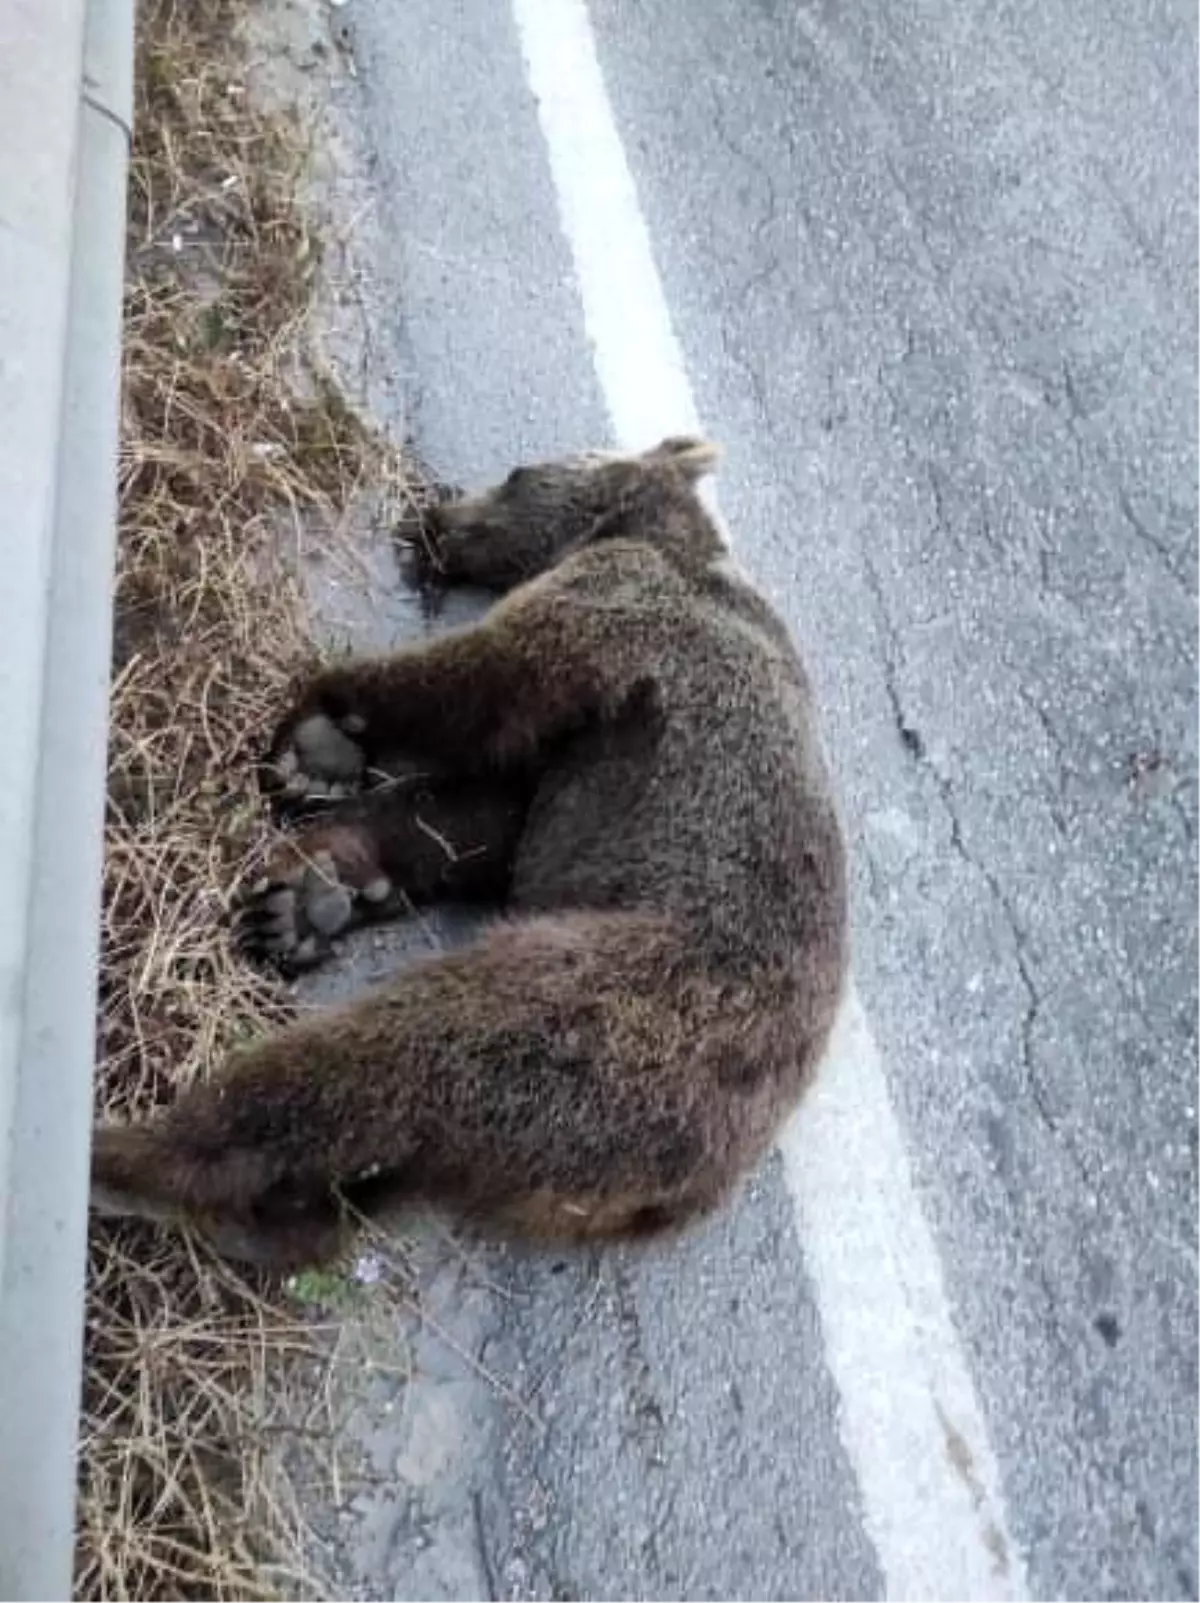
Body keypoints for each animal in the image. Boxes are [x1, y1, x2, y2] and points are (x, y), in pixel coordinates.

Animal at [91, 436, 839, 1263]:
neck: (663, 535)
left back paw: (132, 1156)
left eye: (517, 473)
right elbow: (483, 818)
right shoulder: (576, 770)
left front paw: (322, 730)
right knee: (379, 1166)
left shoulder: (622, 611)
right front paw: (318, 884)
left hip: (611, 1009)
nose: (436, 515)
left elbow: (479, 682)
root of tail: (674, 1194)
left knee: (397, 1056)